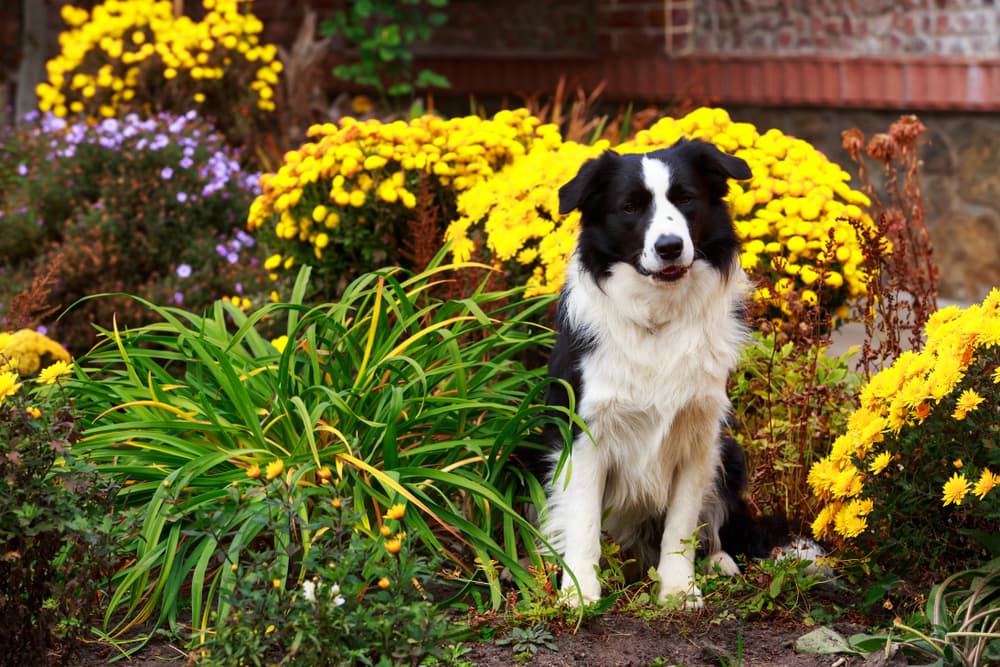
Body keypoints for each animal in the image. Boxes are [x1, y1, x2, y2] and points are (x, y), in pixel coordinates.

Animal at [536, 138, 768, 608]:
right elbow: (583, 521)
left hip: (731, 452)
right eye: (629, 207)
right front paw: (579, 591)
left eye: (686, 199)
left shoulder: (699, 435)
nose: (670, 246)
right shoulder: (585, 434)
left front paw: (678, 588)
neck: (657, 319)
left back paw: (718, 562)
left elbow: (681, 524)